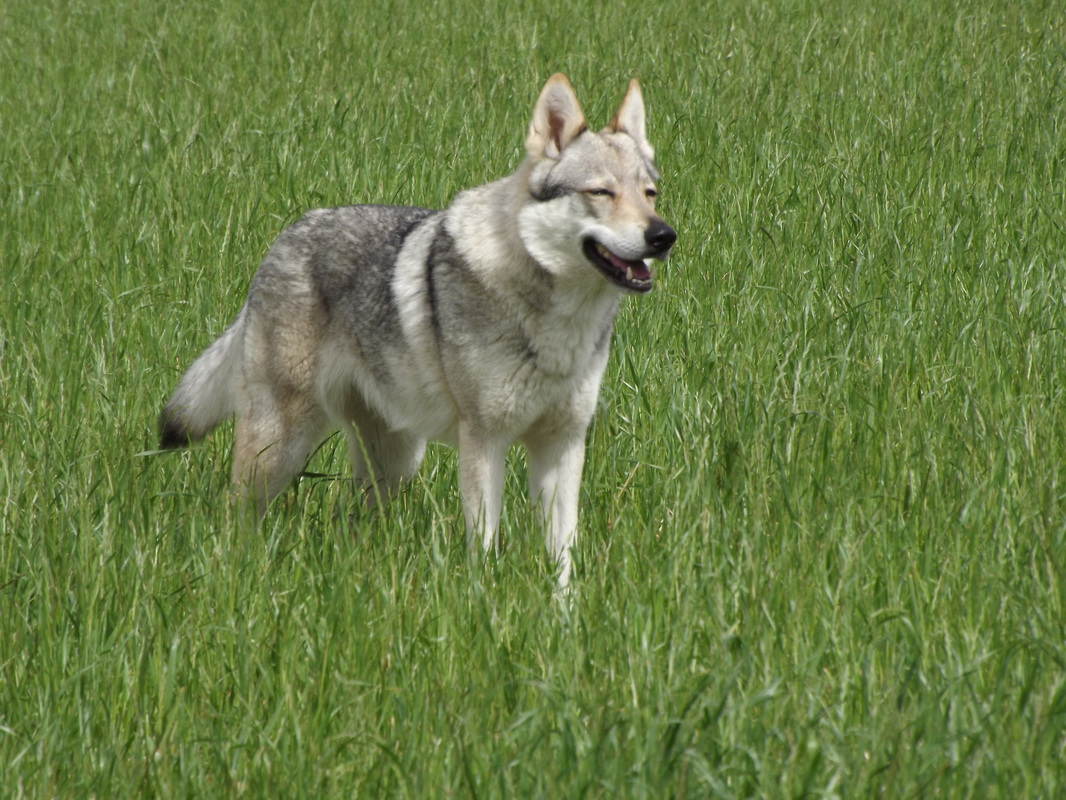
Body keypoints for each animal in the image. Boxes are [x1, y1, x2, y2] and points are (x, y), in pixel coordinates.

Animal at [159, 73, 676, 587]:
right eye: (601, 192)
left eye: (649, 193)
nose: (663, 236)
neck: (556, 318)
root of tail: (286, 237)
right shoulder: (484, 439)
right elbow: (483, 542)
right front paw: (482, 598)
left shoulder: (564, 443)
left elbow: (562, 554)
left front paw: (562, 607)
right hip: (279, 449)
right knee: (235, 516)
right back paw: (237, 574)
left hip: (395, 463)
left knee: (352, 518)